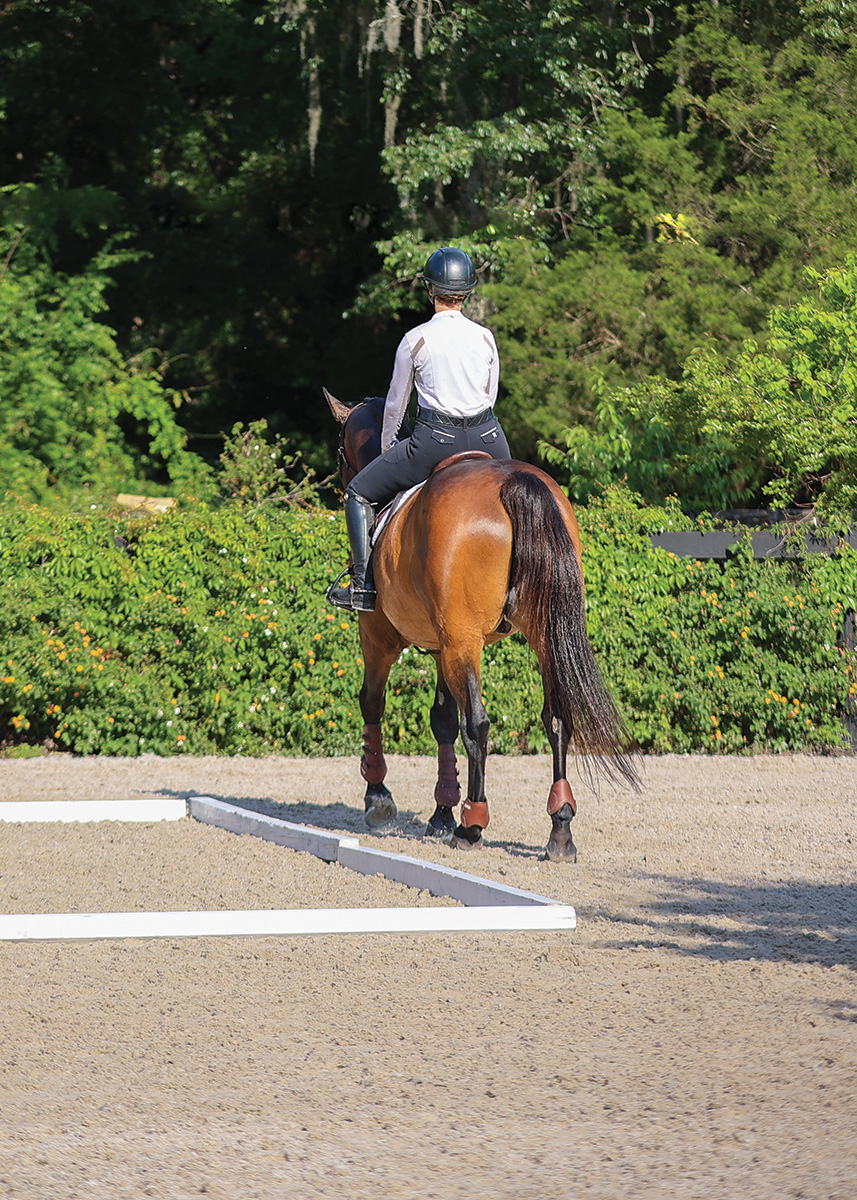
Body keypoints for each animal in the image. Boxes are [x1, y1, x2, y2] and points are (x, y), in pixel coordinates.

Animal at [325, 389, 638, 861]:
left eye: (341, 450)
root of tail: (513, 484)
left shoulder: (379, 636)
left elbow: (373, 704)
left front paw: (379, 798)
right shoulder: (441, 646)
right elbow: (441, 719)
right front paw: (440, 812)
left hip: (462, 642)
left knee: (478, 724)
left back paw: (472, 825)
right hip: (540, 636)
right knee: (557, 719)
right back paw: (560, 830)